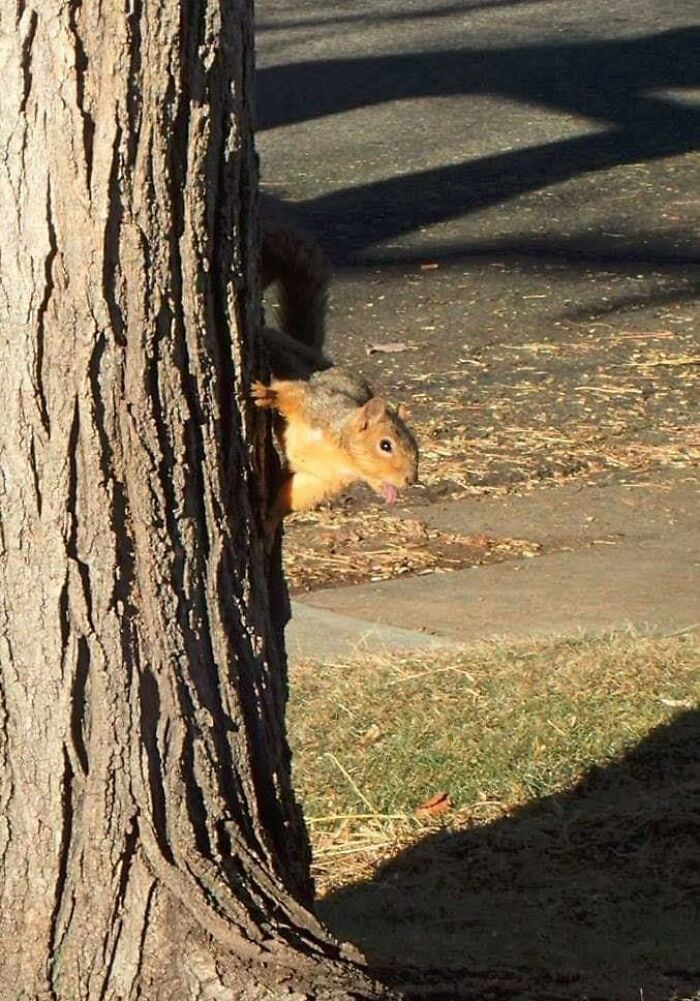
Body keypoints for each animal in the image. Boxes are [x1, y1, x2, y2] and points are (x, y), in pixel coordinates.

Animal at [260, 223, 418, 536]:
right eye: (385, 445)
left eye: (415, 445)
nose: (411, 480)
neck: (339, 454)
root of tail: (316, 354)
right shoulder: (317, 407)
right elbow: (293, 395)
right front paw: (266, 394)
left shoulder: (319, 479)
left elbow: (294, 494)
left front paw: (270, 520)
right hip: (286, 352)